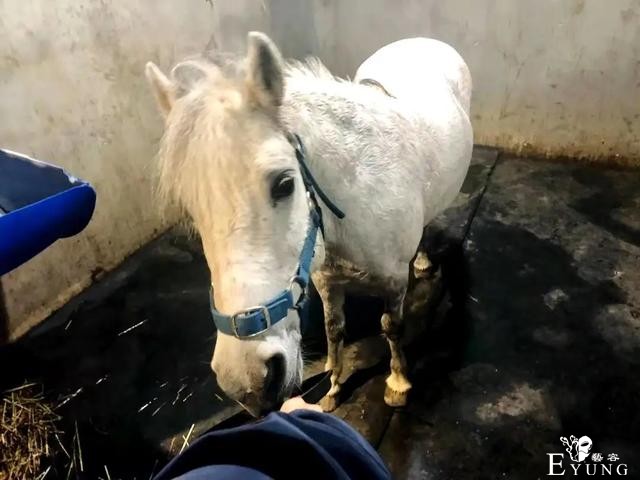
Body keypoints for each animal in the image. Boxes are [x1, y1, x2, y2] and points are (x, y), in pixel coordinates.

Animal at [145, 31, 472, 415]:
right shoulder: (326, 280)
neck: (357, 192)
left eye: (284, 184)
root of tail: (420, 40)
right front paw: (333, 383)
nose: (248, 382)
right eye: (190, 209)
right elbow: (334, 329)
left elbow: (391, 328)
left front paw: (397, 383)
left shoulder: (393, 282)